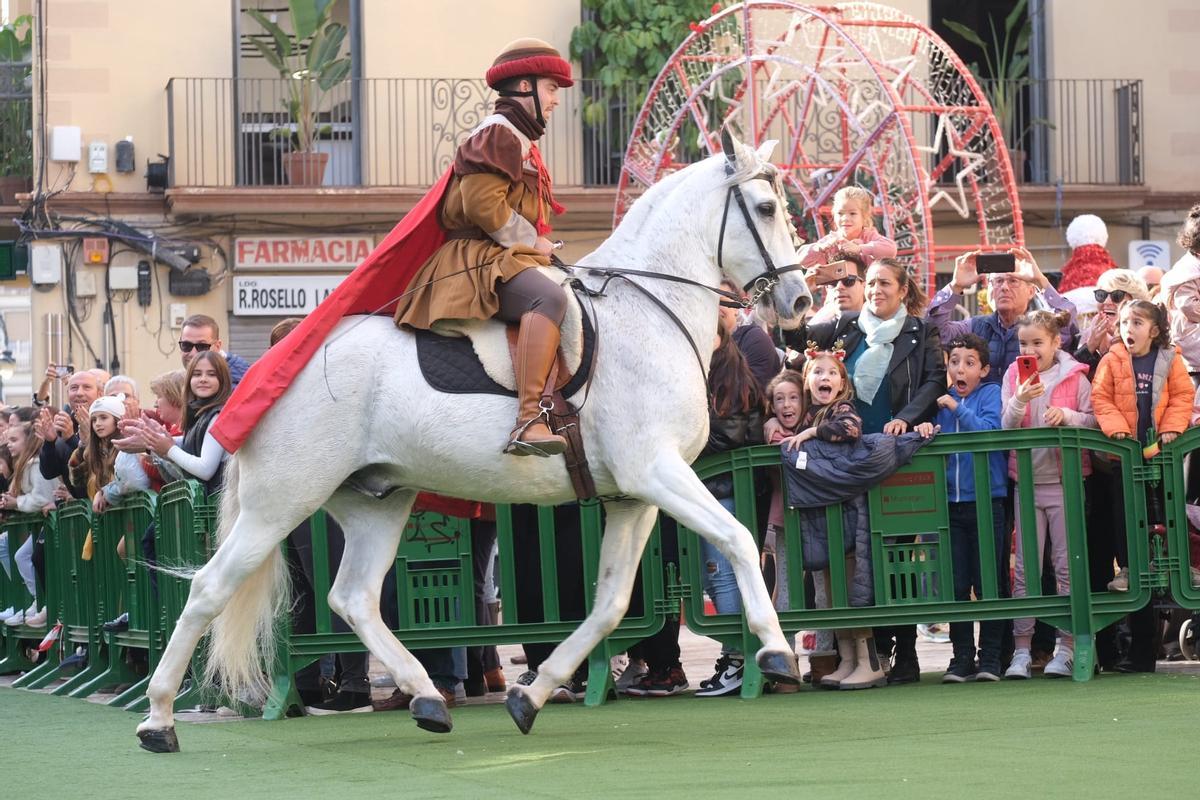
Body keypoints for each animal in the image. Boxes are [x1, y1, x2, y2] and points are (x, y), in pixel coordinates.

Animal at [136, 131, 811, 753]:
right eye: (766, 207)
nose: (800, 300)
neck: (646, 311)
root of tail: (268, 371)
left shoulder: (633, 496)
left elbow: (610, 604)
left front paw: (532, 694)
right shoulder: (655, 473)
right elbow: (738, 538)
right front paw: (776, 649)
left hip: (376, 503)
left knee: (353, 597)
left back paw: (428, 697)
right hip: (281, 502)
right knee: (210, 589)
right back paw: (158, 718)